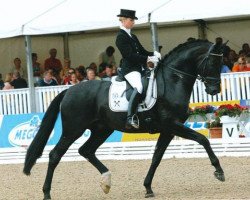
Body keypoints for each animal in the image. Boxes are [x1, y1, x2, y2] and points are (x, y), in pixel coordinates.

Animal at [23, 39, 225, 198]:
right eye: (212, 62)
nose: (214, 90)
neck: (173, 80)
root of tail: (69, 90)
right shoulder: (172, 125)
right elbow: (203, 139)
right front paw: (219, 171)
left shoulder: (168, 129)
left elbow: (157, 157)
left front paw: (148, 188)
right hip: (74, 129)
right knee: (55, 155)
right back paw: (47, 193)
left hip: (102, 129)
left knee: (86, 150)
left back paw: (106, 182)